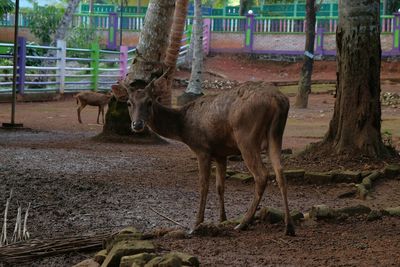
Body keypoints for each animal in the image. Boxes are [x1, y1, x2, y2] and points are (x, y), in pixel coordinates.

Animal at [112, 74, 296, 237]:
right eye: (129, 103)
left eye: (149, 102)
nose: (137, 124)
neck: (184, 128)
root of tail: (279, 100)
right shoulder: (221, 153)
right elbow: (220, 186)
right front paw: (222, 219)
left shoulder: (202, 149)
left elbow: (204, 186)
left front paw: (196, 224)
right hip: (276, 135)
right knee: (280, 173)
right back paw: (289, 226)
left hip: (246, 136)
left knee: (262, 174)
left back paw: (243, 223)